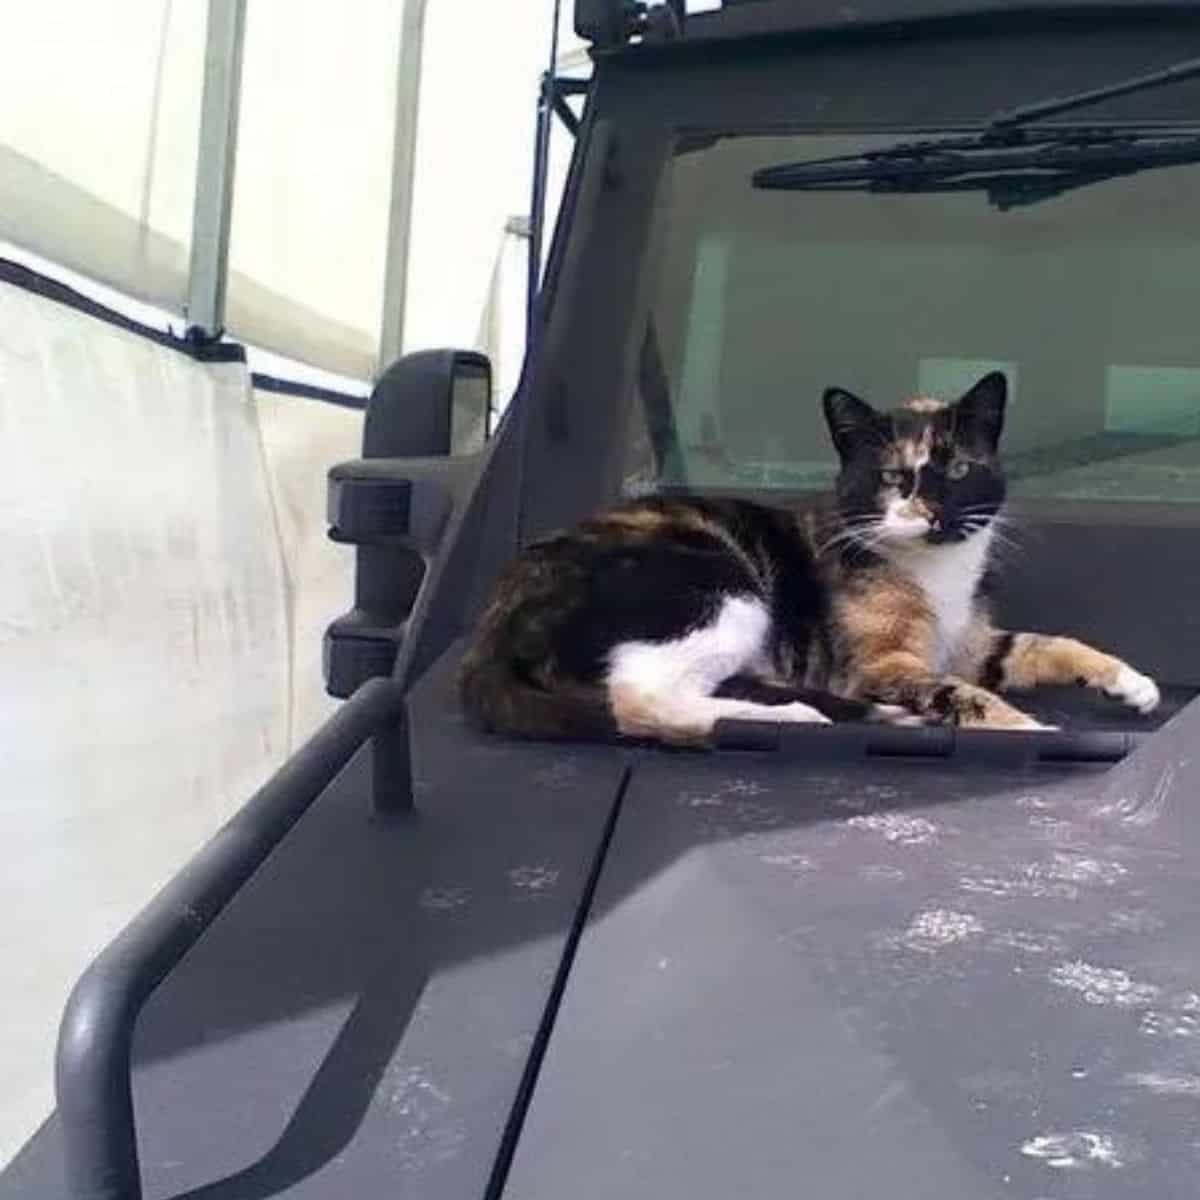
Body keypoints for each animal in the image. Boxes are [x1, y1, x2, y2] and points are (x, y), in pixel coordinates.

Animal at [456, 369, 1152, 744]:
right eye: (892, 477)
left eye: (957, 469)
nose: (930, 512)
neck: (937, 574)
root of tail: (494, 617)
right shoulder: (881, 663)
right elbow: (962, 694)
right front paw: (1030, 729)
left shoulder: (971, 644)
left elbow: (1044, 645)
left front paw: (1130, 682)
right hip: (718, 587)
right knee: (640, 698)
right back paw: (798, 715)